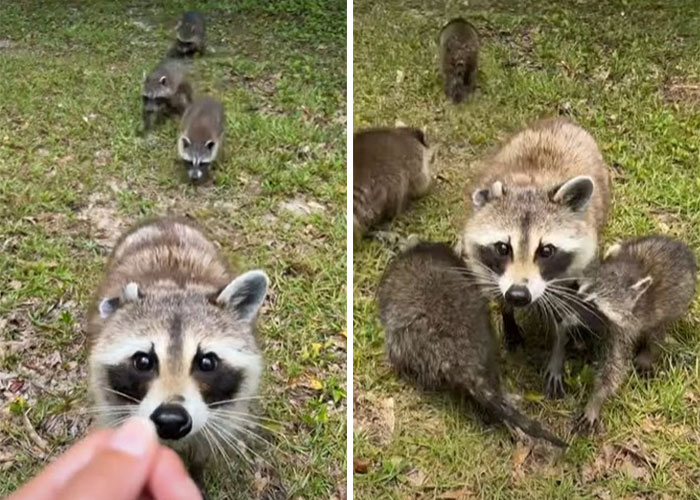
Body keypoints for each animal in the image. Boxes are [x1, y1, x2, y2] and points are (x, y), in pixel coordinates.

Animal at [87, 217, 268, 492]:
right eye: (143, 361)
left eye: (207, 362)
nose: (171, 420)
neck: (176, 286)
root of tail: (165, 220)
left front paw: (197, 473)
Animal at [456, 117, 611, 398]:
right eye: (503, 248)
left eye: (546, 251)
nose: (518, 295)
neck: (532, 186)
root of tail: (560, 120)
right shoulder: (487, 267)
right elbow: (498, 295)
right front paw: (508, 317)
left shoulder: (572, 270)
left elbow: (563, 317)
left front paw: (559, 350)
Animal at [573, 235, 697, 433]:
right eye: (582, 291)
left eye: (594, 304)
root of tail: (684, 249)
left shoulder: (622, 329)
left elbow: (614, 367)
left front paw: (596, 398)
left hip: (677, 303)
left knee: (658, 333)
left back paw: (649, 353)